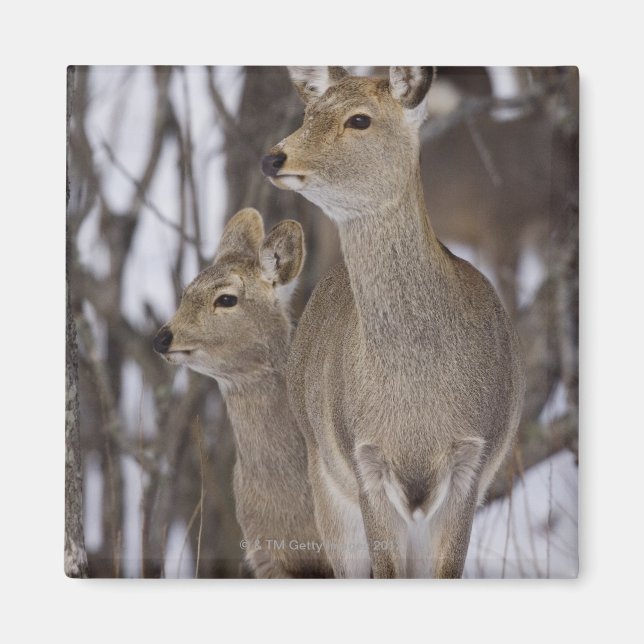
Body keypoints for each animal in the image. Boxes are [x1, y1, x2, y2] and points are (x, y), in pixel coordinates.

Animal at [261, 67, 526, 578]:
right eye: (308, 112)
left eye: (360, 119)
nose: (273, 156)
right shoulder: (364, 461)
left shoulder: (473, 460)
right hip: (326, 482)